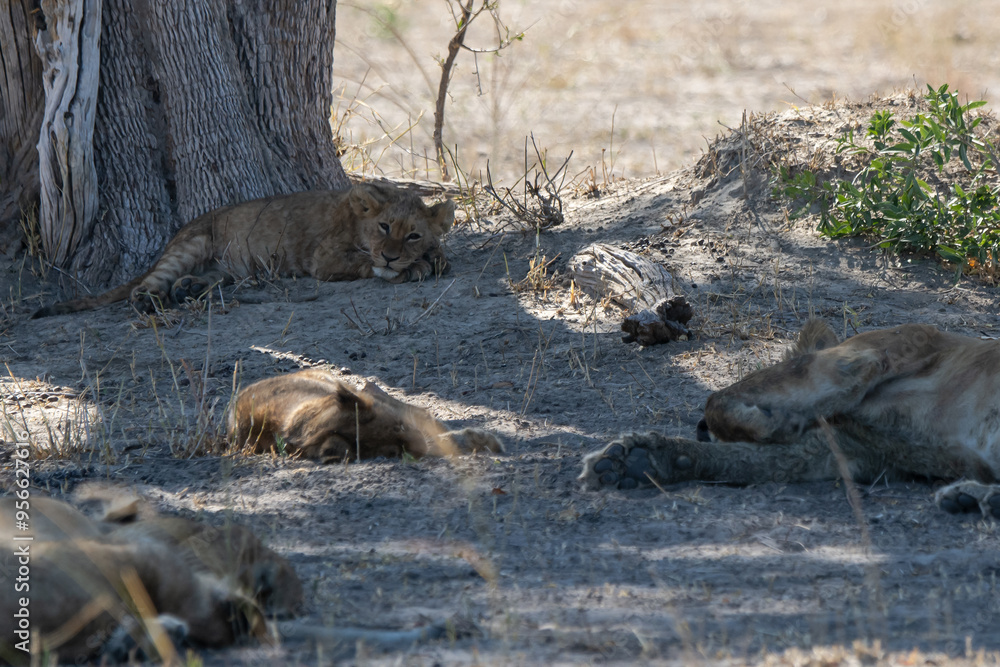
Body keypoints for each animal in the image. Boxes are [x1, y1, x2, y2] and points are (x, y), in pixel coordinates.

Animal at [31, 182, 455, 318]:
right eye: (384, 227)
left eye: (412, 235)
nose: (390, 255)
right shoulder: (324, 258)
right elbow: (363, 263)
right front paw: (407, 269)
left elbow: (439, 255)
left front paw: (432, 259)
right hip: (194, 241)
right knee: (147, 282)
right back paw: (151, 299)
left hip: (226, 267)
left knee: (205, 279)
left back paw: (188, 289)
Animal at [580, 319, 1000, 519]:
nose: (698, 431)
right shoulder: (851, 451)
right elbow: (742, 461)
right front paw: (637, 461)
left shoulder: (862, 355)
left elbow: (718, 399)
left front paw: (776, 421)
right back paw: (972, 498)